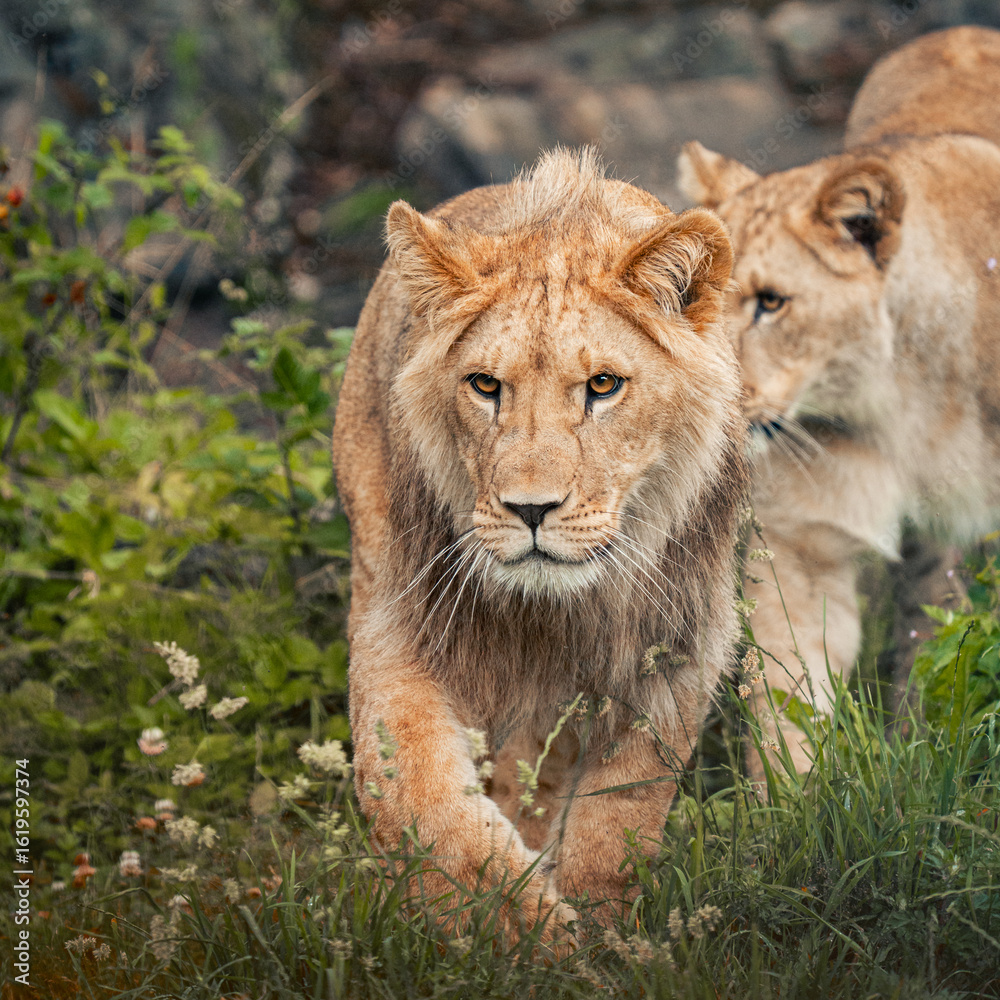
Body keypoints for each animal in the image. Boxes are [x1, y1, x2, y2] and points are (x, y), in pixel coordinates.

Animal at [331, 148, 749, 937]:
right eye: (485, 385)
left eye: (604, 385)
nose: (530, 510)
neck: (556, 612)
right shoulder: (398, 628)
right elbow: (431, 811)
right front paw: (534, 937)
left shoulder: (677, 650)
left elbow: (620, 819)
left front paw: (608, 932)